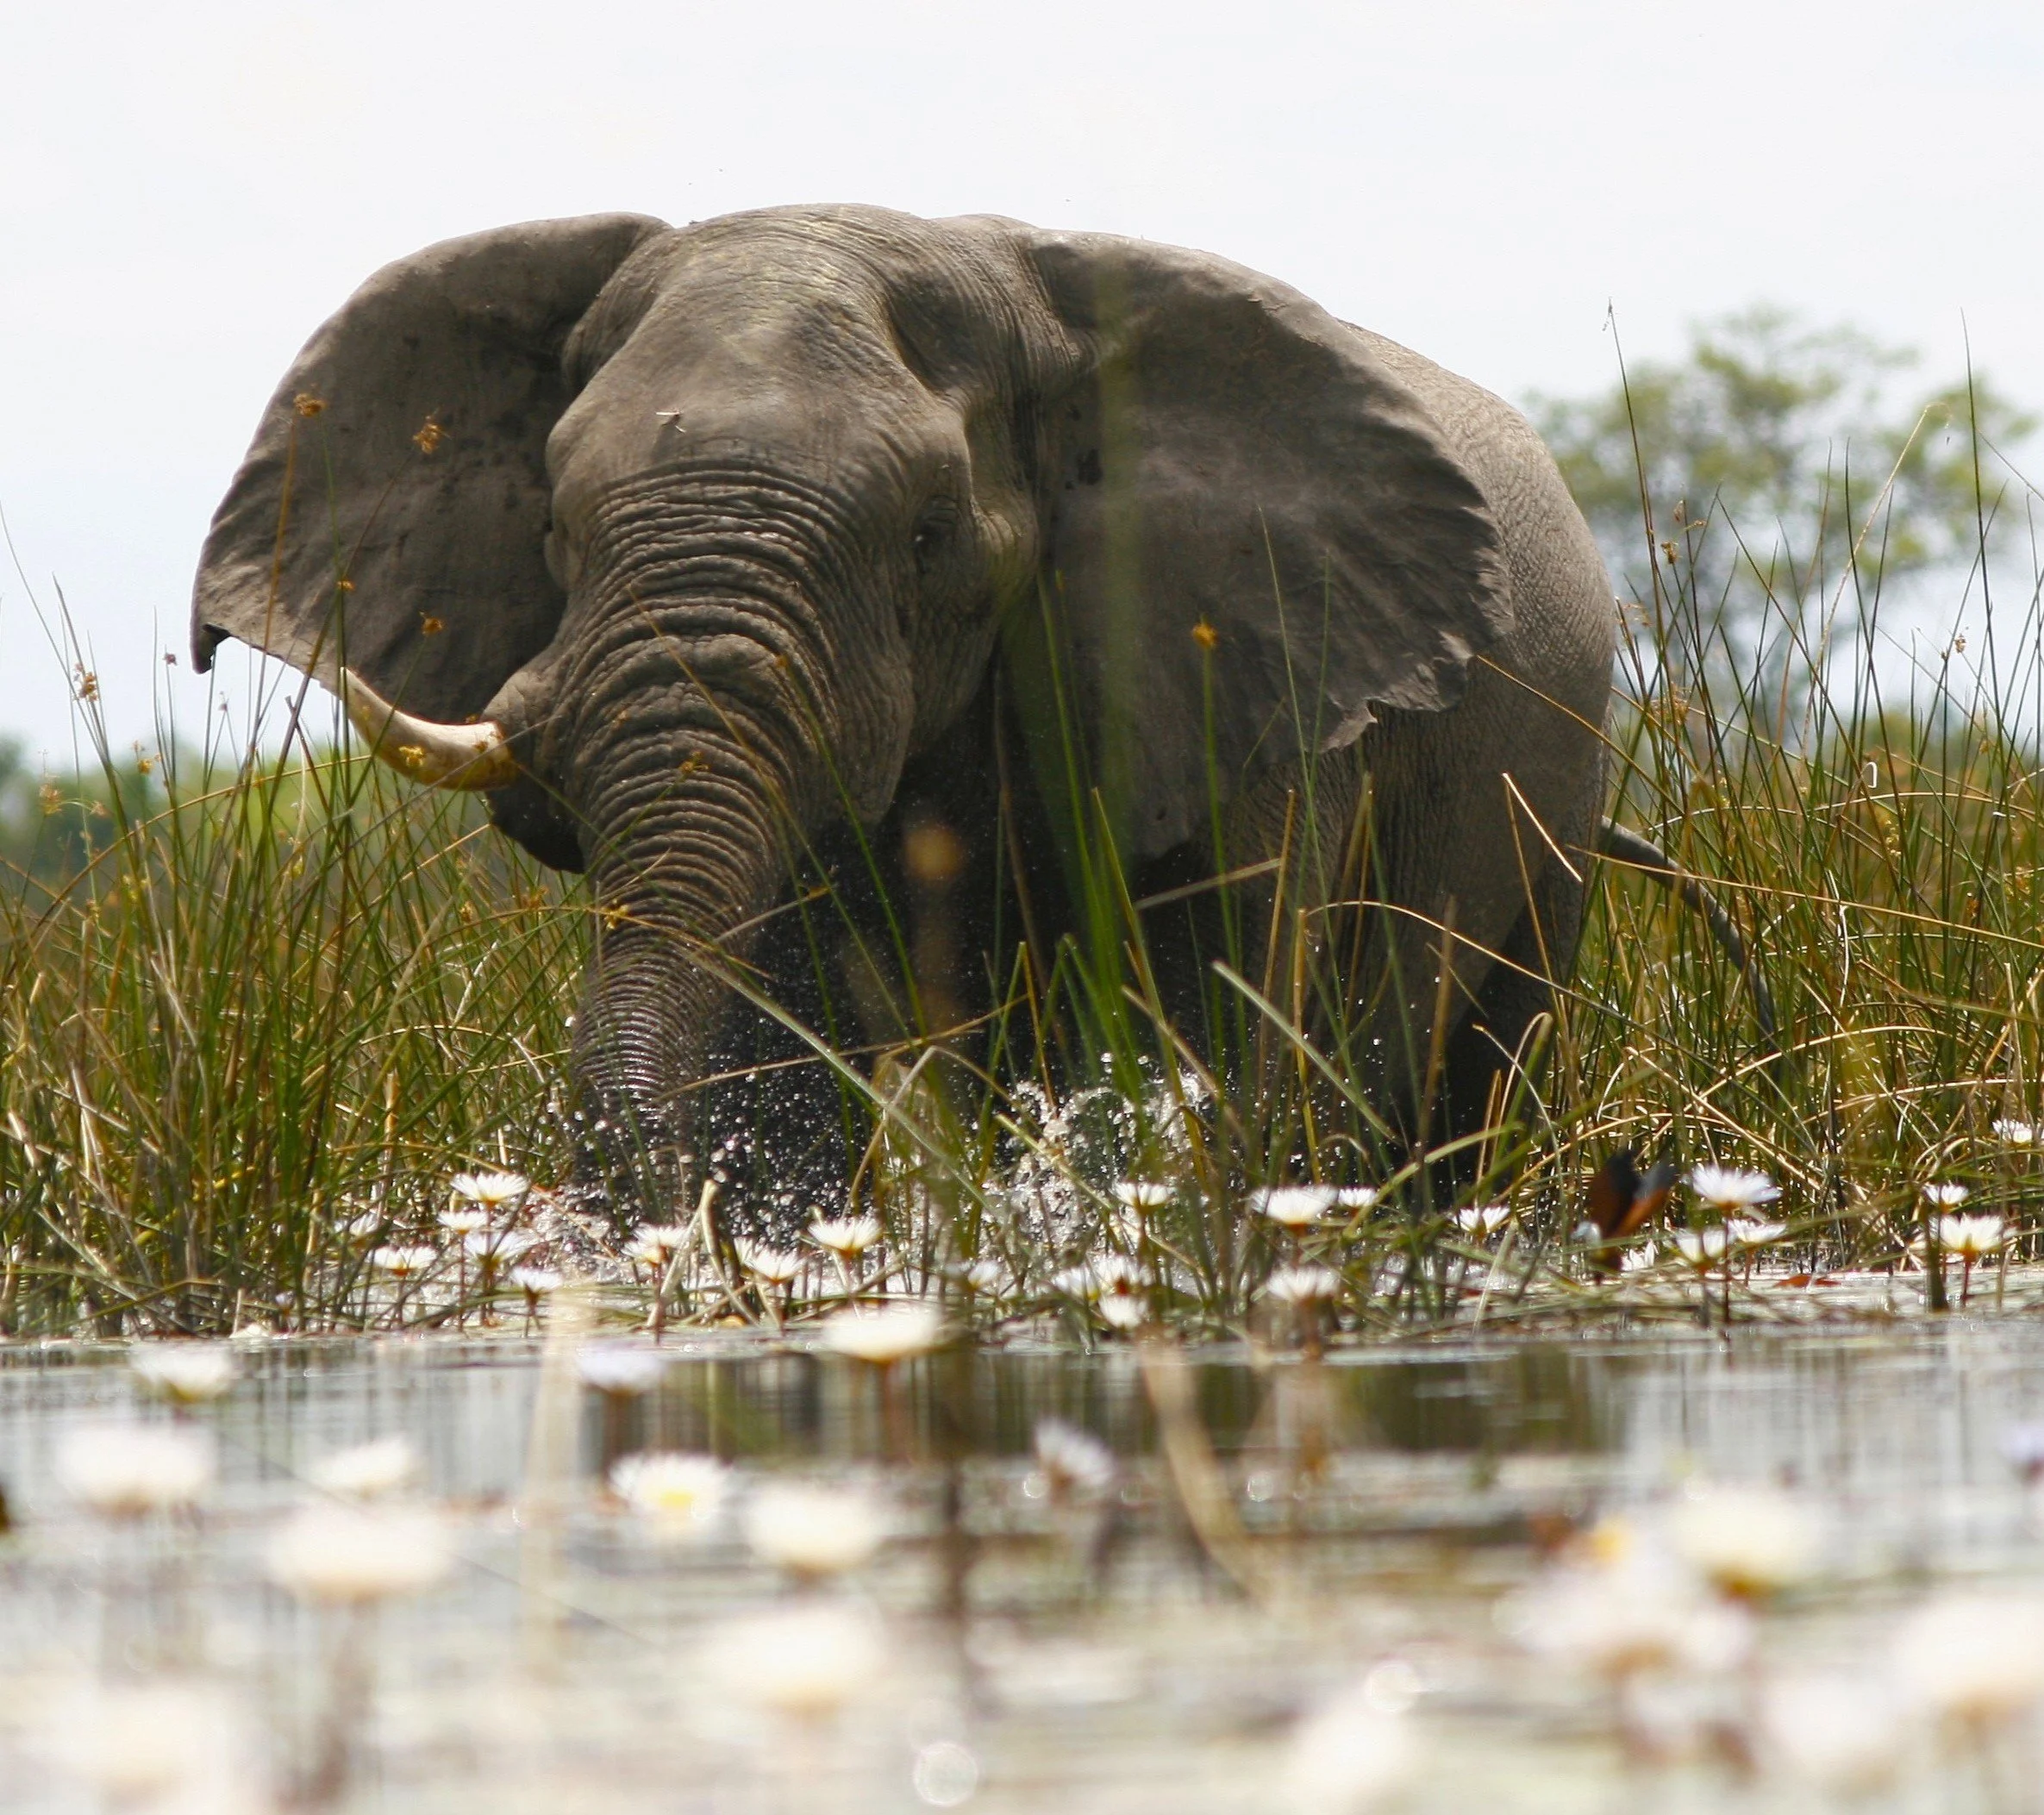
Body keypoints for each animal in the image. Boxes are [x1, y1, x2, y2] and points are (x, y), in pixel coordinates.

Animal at [191, 205, 1638, 1225]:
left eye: (929, 536)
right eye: (552, 526)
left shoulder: (1256, 682)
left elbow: (1197, 1035)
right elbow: (778, 1043)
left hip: (1555, 797)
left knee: (1476, 1080)